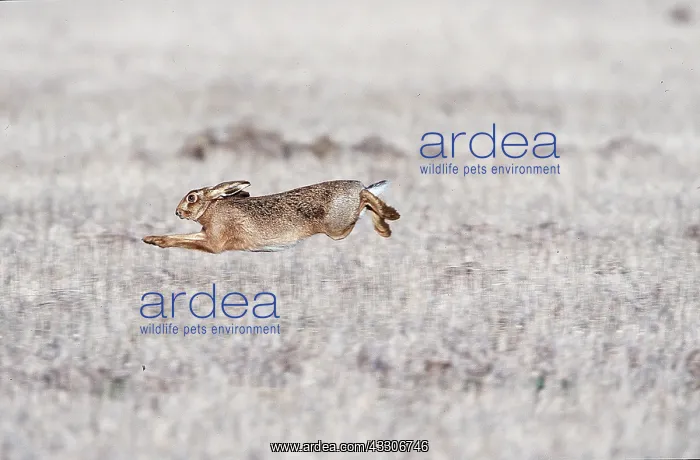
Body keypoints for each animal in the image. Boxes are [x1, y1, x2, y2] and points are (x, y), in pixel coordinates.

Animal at [142, 179, 400, 253]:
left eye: (192, 197)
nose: (177, 212)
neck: (212, 208)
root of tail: (356, 186)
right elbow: (181, 237)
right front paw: (151, 240)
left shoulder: (214, 242)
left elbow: (184, 240)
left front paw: (153, 241)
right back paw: (385, 226)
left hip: (337, 227)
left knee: (366, 197)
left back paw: (389, 219)